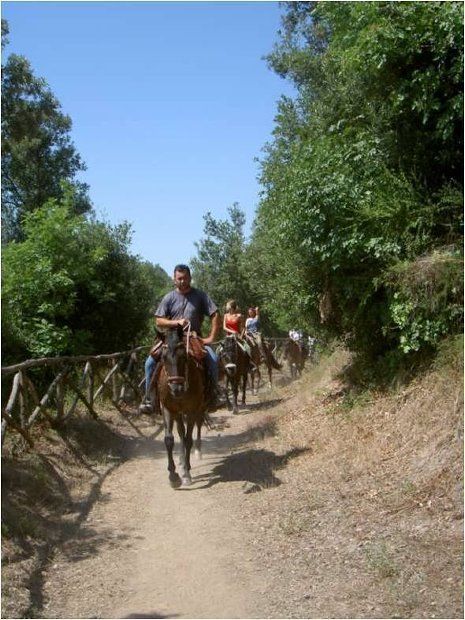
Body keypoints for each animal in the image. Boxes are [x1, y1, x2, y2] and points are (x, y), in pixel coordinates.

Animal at [150, 324, 208, 488]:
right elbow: (169, 439)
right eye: (163, 357)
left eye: (184, 357)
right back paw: (181, 462)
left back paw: (196, 453)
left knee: (197, 426)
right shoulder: (168, 409)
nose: (177, 389)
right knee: (180, 431)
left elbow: (188, 439)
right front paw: (173, 476)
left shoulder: (192, 409)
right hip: (178, 412)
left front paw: (186, 474)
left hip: (198, 408)